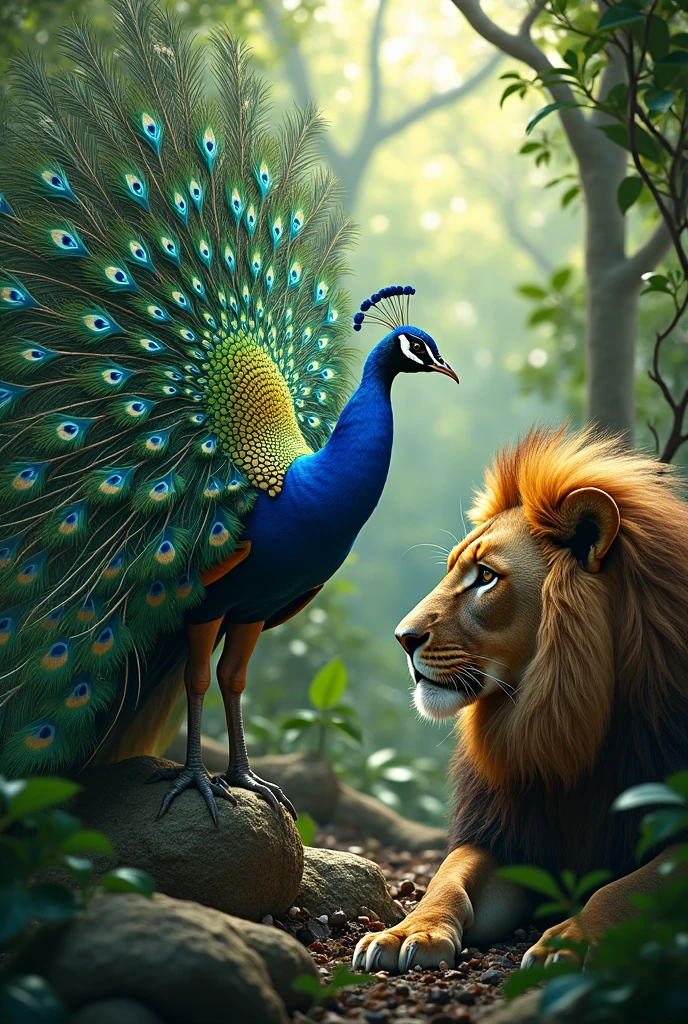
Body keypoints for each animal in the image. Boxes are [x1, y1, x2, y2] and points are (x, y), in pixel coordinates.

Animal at [353, 426, 688, 974]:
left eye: (486, 577)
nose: (403, 638)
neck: (559, 724)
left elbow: (624, 887)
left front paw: (565, 942)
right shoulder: (508, 834)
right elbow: (447, 876)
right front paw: (408, 931)